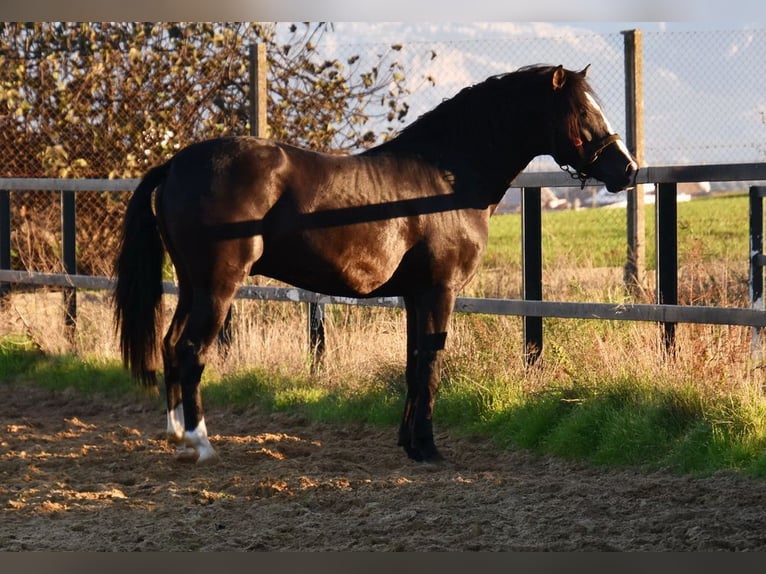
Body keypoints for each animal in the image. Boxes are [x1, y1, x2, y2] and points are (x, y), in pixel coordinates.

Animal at [114, 65, 640, 466]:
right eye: (582, 112)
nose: (628, 169)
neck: (446, 178)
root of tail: (176, 163)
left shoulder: (414, 294)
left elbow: (412, 363)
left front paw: (410, 444)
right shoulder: (439, 290)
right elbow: (430, 362)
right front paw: (428, 449)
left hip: (190, 285)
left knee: (168, 345)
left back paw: (176, 438)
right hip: (217, 287)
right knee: (190, 351)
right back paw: (200, 445)